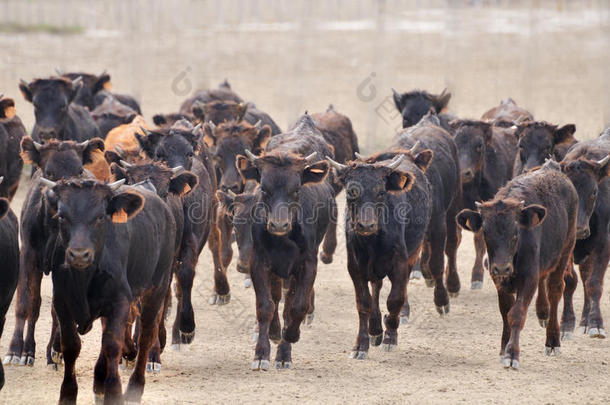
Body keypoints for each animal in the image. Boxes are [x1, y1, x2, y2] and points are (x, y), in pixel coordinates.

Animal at [456, 159, 576, 368]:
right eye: (485, 231)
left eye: (516, 231)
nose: (502, 267)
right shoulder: (499, 280)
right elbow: (506, 312)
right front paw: (504, 349)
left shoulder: (528, 278)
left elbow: (517, 313)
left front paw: (512, 354)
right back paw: (542, 313)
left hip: (565, 251)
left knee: (555, 290)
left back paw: (553, 341)